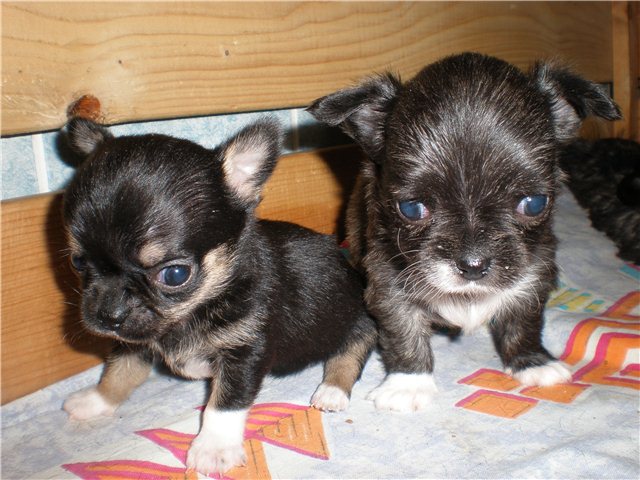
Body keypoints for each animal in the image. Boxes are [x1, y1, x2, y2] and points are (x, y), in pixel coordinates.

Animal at [61, 117, 377, 475]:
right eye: (78, 262)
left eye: (174, 275)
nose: (108, 316)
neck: (199, 305)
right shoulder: (136, 342)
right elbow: (118, 371)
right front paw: (97, 400)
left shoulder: (244, 353)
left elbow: (224, 403)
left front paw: (213, 447)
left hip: (359, 321)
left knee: (350, 352)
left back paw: (331, 391)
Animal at [309, 52, 621, 412]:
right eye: (411, 208)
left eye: (534, 203)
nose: (473, 265)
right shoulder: (389, 281)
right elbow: (404, 332)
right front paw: (408, 385)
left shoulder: (534, 272)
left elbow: (524, 320)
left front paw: (532, 362)